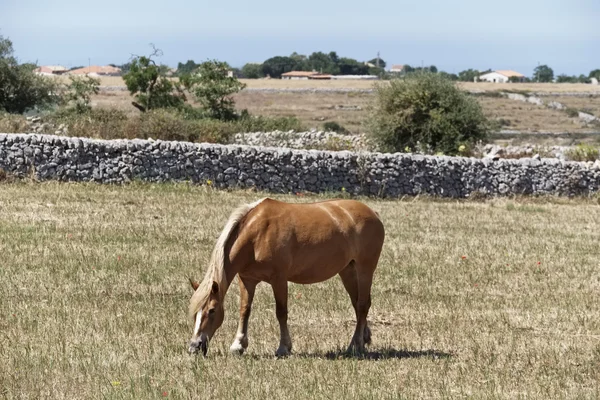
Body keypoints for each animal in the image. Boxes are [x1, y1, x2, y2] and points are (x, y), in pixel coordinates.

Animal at [186, 197, 384, 356]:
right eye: (194, 313)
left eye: (212, 310)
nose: (194, 347)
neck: (256, 235)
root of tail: (373, 214)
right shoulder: (247, 280)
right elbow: (245, 310)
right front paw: (238, 345)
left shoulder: (279, 280)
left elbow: (281, 312)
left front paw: (283, 347)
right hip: (347, 271)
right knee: (358, 305)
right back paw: (364, 339)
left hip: (365, 269)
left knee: (362, 305)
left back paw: (355, 345)